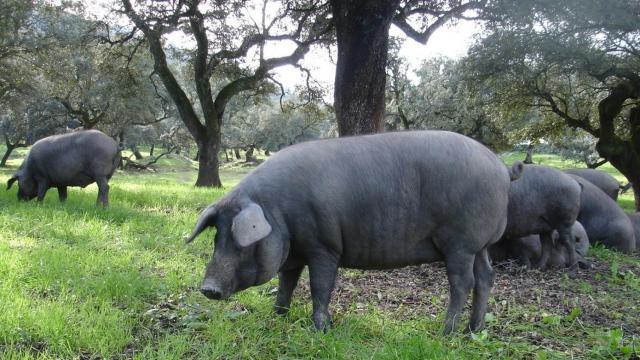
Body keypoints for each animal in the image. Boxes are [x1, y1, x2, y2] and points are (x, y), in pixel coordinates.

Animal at [186, 130, 524, 334]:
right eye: (217, 237)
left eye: (241, 243)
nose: (208, 288)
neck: (278, 211)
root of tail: (501, 166)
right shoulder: (293, 252)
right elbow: (286, 283)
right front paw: (277, 317)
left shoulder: (323, 246)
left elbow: (320, 287)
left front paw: (321, 330)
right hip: (480, 245)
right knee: (486, 276)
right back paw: (473, 330)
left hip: (460, 243)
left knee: (463, 282)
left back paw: (445, 333)